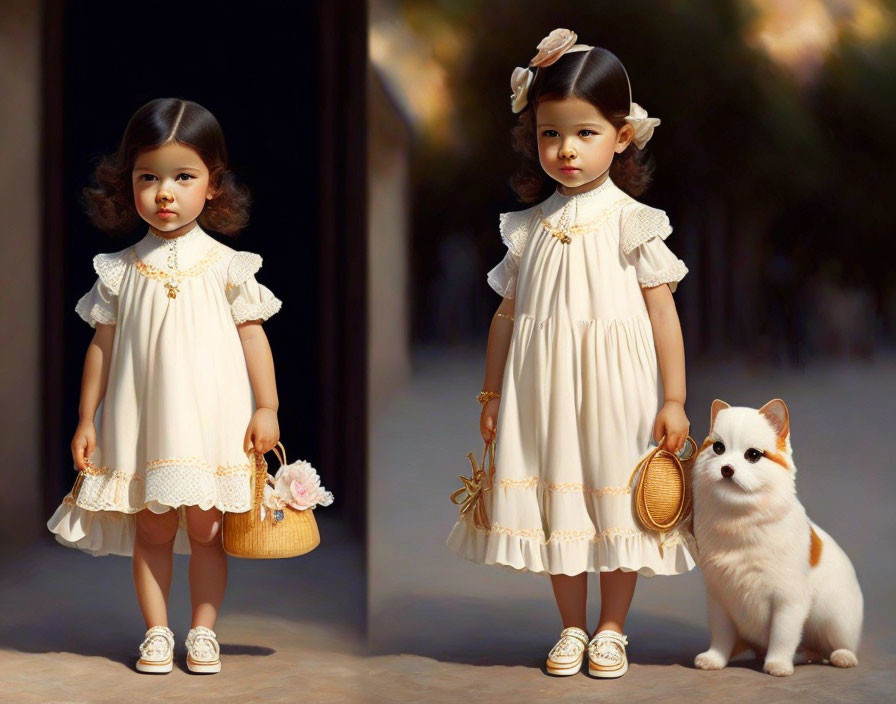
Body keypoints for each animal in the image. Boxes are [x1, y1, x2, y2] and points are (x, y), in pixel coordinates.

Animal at [692, 398, 860, 672]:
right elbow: (722, 637)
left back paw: (842, 656)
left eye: (752, 455)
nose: (726, 468)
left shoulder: (787, 601)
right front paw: (714, 660)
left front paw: (778, 665)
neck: (740, 518)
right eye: (718, 448)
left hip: (834, 619)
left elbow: (783, 636)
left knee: (836, 645)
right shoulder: (720, 599)